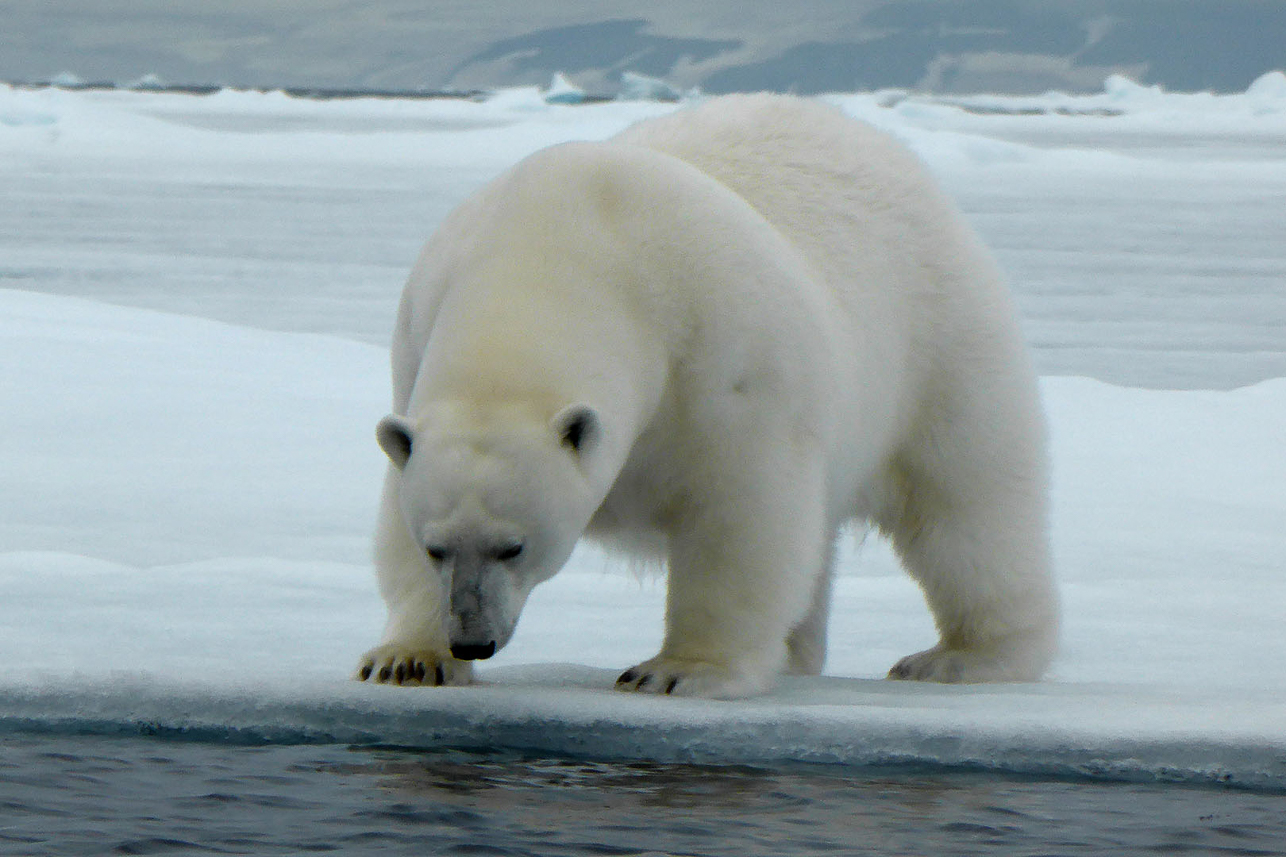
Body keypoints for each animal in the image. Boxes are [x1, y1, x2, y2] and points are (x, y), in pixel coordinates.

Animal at [357, 95, 1059, 694]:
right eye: (436, 546)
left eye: (514, 545)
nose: (472, 639)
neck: (558, 246)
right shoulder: (416, 343)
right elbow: (396, 502)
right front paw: (408, 659)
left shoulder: (722, 352)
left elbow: (741, 511)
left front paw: (675, 671)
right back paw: (797, 652)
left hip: (936, 336)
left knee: (966, 503)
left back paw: (964, 656)